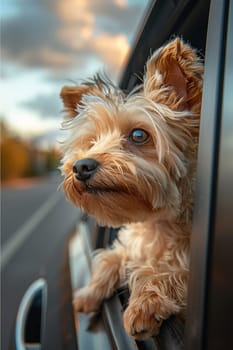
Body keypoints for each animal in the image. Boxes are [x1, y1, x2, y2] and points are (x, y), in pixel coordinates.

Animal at [59, 38, 202, 340]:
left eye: (138, 135)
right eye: (91, 142)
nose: (81, 166)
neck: (157, 225)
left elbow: (170, 273)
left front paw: (144, 304)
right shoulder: (130, 246)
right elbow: (110, 259)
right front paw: (88, 293)